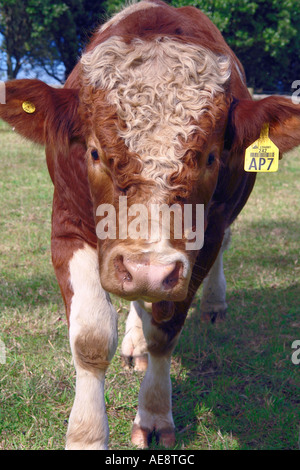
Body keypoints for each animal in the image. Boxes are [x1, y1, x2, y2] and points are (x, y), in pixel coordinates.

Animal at [1, 0, 300, 448]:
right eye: (94, 152)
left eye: (211, 157)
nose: (148, 271)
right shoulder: (67, 226)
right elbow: (91, 337)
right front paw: (87, 434)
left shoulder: (202, 243)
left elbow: (167, 328)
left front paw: (155, 414)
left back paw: (212, 305)